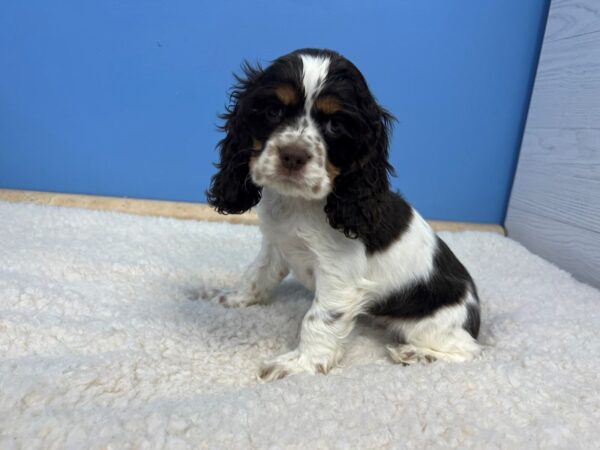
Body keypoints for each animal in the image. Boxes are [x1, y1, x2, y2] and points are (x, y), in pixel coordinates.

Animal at [209, 48, 480, 380]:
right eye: (273, 111)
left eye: (335, 126)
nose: (293, 156)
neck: (299, 203)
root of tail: (474, 311)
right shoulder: (276, 244)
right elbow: (257, 274)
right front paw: (233, 297)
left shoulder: (338, 276)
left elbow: (317, 320)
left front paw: (300, 364)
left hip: (430, 325)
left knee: (471, 351)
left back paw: (415, 354)